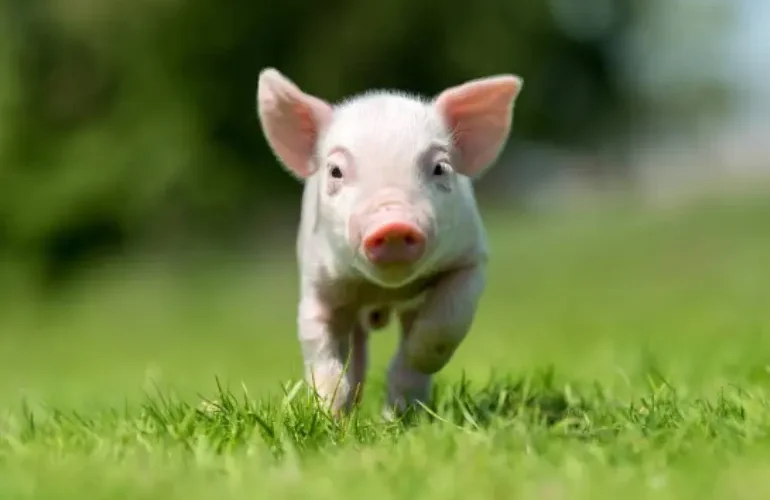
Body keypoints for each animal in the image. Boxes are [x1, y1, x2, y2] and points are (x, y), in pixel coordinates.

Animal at [256, 68, 523, 416]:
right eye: (335, 171)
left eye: (440, 168)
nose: (393, 223)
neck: (384, 290)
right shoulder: (318, 282)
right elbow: (319, 346)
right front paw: (328, 413)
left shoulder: (470, 260)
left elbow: (446, 323)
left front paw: (414, 357)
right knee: (357, 352)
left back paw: (400, 414)